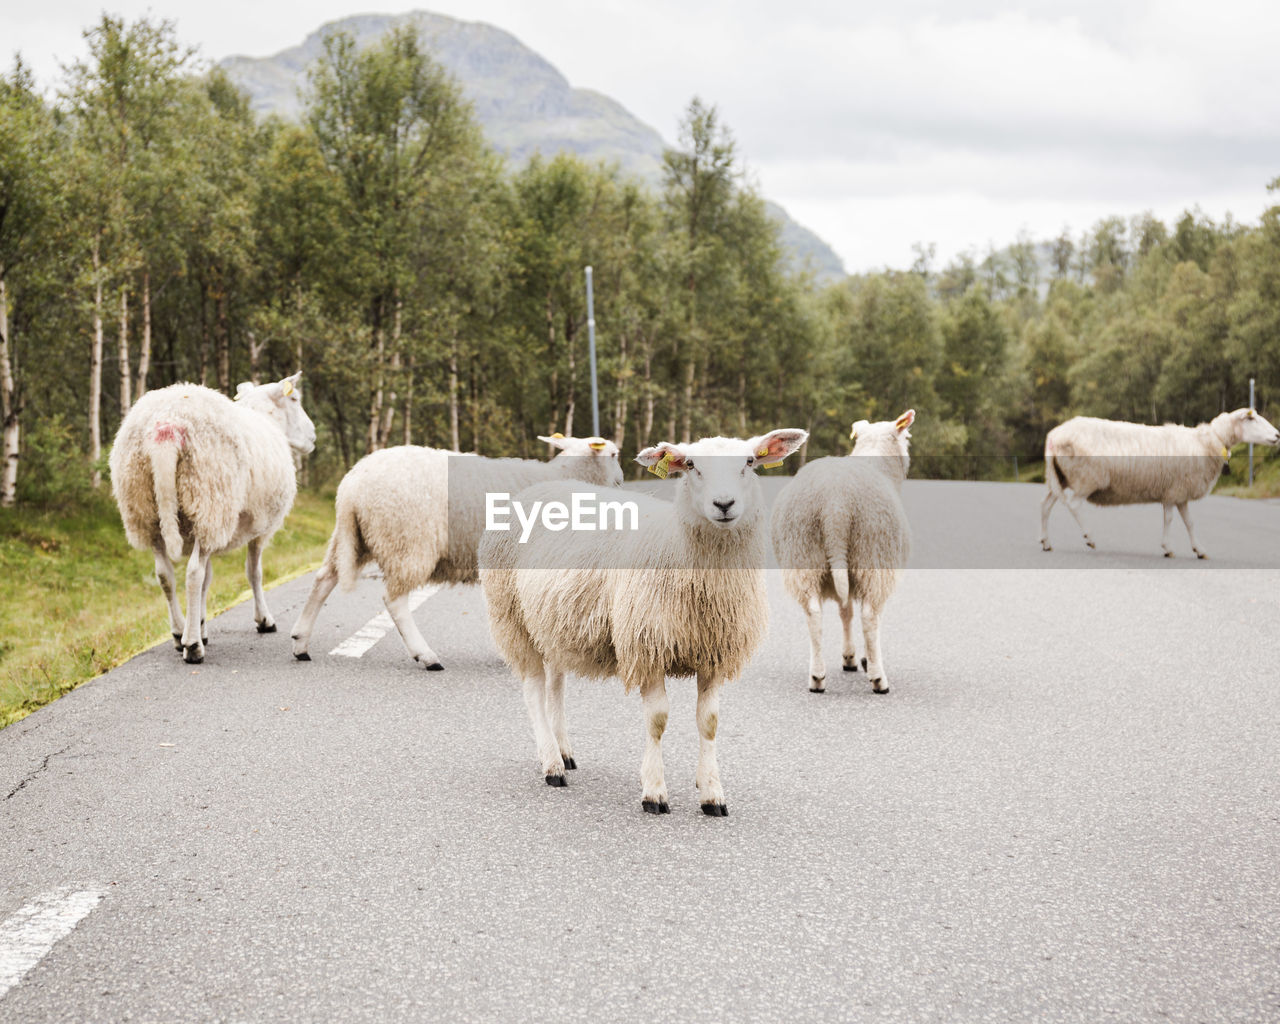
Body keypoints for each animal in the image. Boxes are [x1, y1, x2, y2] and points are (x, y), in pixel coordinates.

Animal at [111, 371, 318, 665]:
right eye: (295, 399)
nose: (313, 436)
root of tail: (167, 426)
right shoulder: (260, 528)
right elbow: (253, 572)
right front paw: (263, 620)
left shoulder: (202, 530)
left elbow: (207, 581)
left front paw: (200, 624)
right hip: (210, 497)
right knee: (192, 574)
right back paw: (193, 647)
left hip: (147, 509)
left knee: (165, 575)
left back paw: (179, 633)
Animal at [291, 435, 629, 665]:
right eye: (614, 454)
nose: (622, 481)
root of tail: (351, 485)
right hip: (407, 540)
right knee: (394, 600)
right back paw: (426, 656)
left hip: (355, 538)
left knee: (323, 579)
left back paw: (300, 643)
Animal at [481, 424, 808, 814]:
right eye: (691, 465)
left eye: (749, 462)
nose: (724, 504)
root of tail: (535, 490)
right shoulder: (647, 645)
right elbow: (658, 721)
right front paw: (654, 791)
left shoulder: (714, 651)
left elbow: (709, 723)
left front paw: (712, 792)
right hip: (511, 617)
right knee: (533, 689)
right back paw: (552, 765)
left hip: (553, 621)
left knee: (555, 686)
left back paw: (564, 752)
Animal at [762, 407, 916, 696]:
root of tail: (836, 505)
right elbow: (865, 615)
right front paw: (865, 659)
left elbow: (845, 612)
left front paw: (850, 657)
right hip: (872, 551)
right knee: (869, 616)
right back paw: (879, 679)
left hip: (803, 551)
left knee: (814, 614)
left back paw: (817, 677)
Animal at [1039, 407, 1280, 560]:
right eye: (1251, 419)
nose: (1277, 435)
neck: (1208, 443)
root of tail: (1053, 435)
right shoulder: (1174, 491)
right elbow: (1171, 520)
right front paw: (1168, 547)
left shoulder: (1179, 492)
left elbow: (1189, 523)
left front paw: (1199, 549)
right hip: (1086, 477)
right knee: (1073, 505)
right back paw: (1089, 538)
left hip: (1062, 477)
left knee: (1046, 506)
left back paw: (1046, 542)